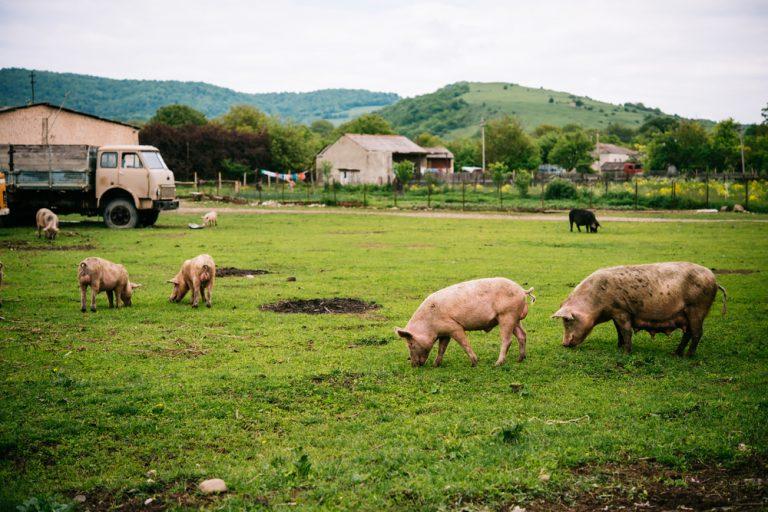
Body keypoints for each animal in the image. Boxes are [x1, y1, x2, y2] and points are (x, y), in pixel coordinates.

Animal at [395, 278, 536, 367]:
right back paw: (520, 359)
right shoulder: (444, 332)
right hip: (515, 318)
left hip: (507, 315)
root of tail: (522, 290)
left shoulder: (454, 327)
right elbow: (442, 348)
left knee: (507, 340)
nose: (413, 365)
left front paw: (474, 363)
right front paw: (436, 365)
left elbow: (464, 343)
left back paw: (497, 364)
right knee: (522, 335)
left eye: (410, 344)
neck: (428, 324)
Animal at [552, 262, 726, 356]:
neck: (595, 300)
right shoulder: (615, 313)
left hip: (697, 308)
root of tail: (714, 280)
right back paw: (675, 354)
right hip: (688, 313)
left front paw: (626, 353)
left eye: (567, 321)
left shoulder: (621, 310)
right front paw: (619, 347)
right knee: (689, 333)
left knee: (697, 333)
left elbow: (626, 331)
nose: (564, 344)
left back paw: (687, 357)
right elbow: (618, 331)